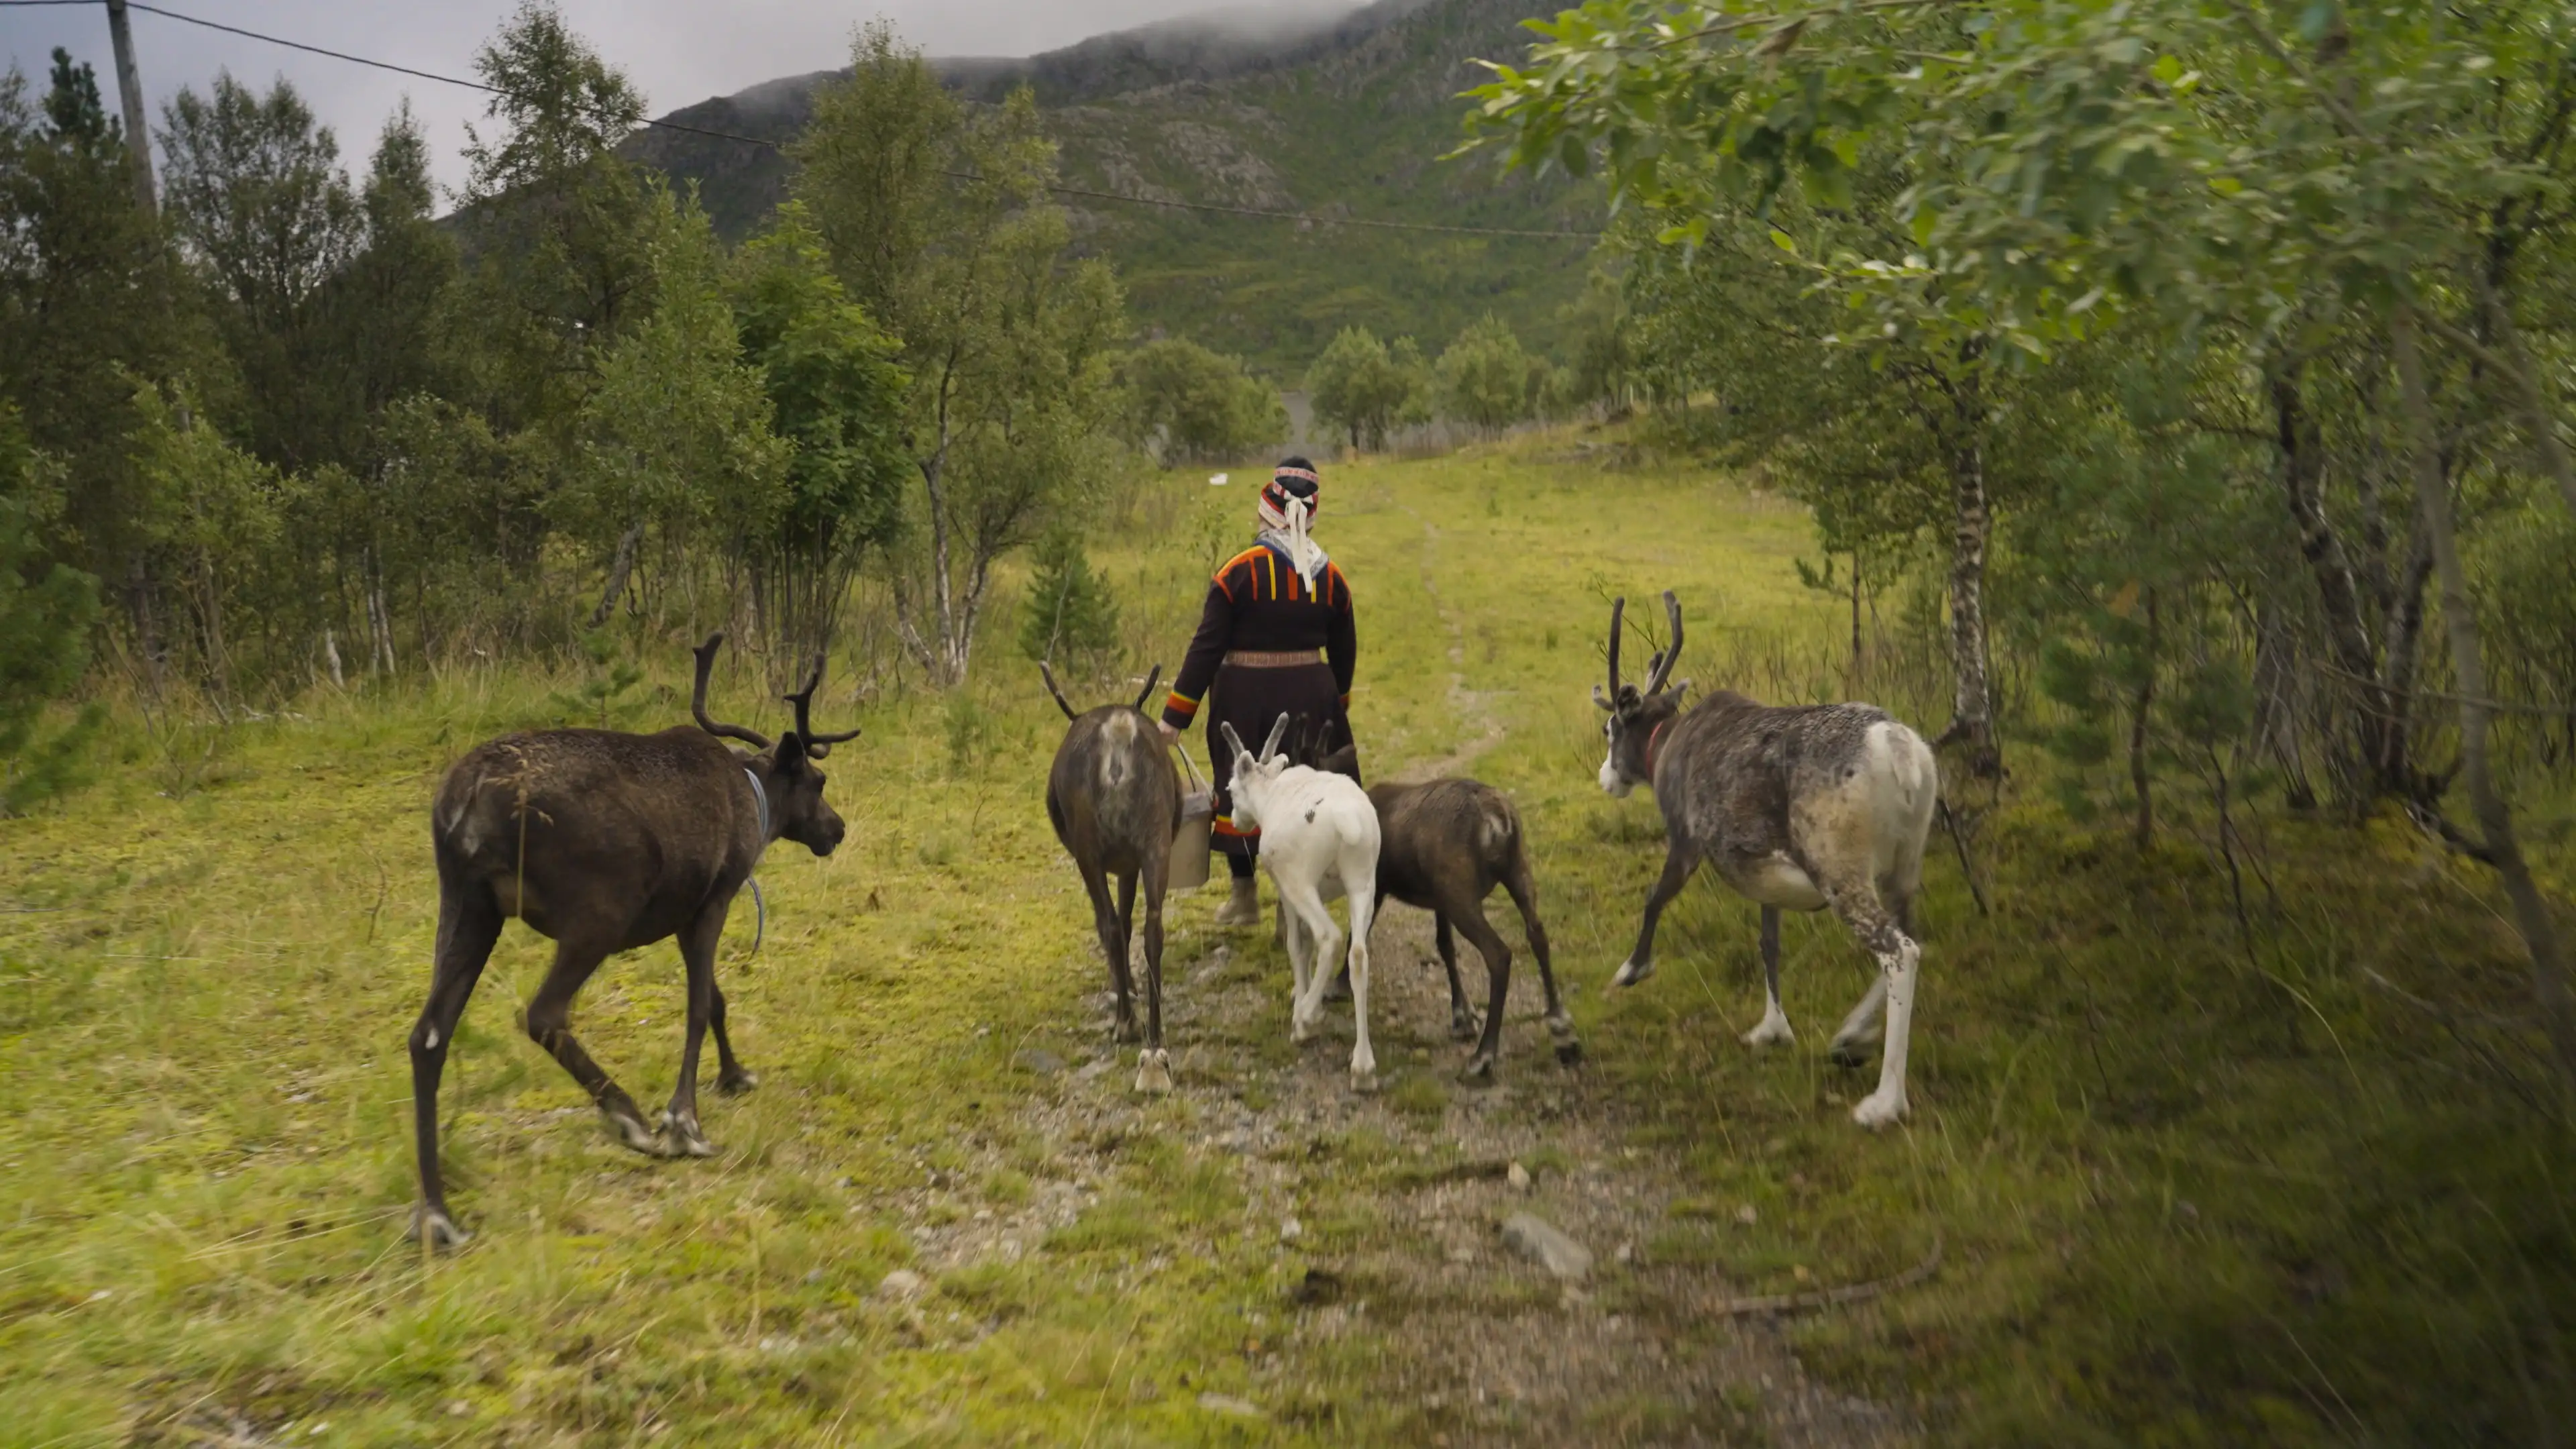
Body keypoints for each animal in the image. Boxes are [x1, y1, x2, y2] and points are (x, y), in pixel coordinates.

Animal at [406, 633, 858, 1247]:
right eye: (818, 783)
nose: (837, 828)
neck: (756, 798)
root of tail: (467, 798)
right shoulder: (714, 899)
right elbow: (699, 1007)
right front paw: (684, 1121)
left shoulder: (682, 913)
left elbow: (716, 1000)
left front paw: (735, 1075)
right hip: (598, 914)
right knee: (543, 1014)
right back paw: (629, 1118)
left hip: (467, 905)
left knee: (428, 1034)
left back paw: (436, 1213)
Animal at [1041, 661, 1182, 1093]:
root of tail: (1118, 734)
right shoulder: (1129, 863)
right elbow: (1129, 920)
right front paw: (1132, 987)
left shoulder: (1108, 862)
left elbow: (1114, 925)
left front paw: (1124, 992)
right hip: (1155, 840)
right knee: (1153, 929)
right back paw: (1155, 1039)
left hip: (1088, 850)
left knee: (1107, 924)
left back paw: (1126, 1023)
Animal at [1220, 715, 1384, 1090]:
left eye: (1231, 790)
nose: (1235, 820)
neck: (1270, 795)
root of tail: (1345, 821)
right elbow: (1307, 944)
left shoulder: (1285, 887)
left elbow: (1298, 945)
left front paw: (1304, 1002)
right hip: (1363, 880)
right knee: (1358, 953)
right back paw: (1363, 1067)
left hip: (1302, 880)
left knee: (1330, 937)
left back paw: (1304, 1023)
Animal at [1593, 592, 1938, 1129]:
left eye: (1610, 729)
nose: (1606, 778)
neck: (1663, 745)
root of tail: (1901, 752)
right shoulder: (1764, 876)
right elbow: (1768, 945)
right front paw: (1772, 1028)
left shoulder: (1688, 839)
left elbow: (1654, 899)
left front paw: (1632, 969)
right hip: (1905, 865)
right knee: (1913, 936)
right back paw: (1850, 1038)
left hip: (1837, 867)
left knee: (1900, 951)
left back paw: (1885, 1102)